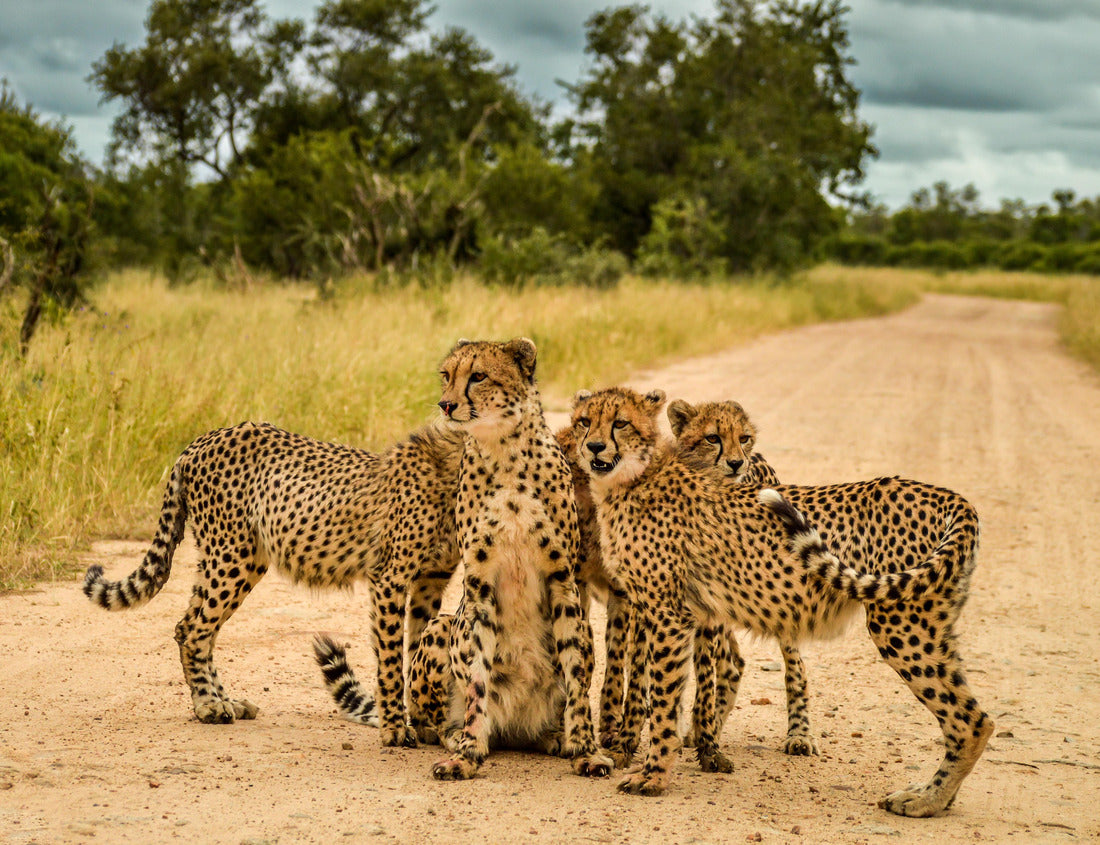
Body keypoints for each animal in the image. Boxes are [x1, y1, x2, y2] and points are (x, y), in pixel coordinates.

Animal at [83, 418, 465, 748]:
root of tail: (202, 440)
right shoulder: (390, 578)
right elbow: (391, 658)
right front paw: (396, 729)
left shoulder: (431, 581)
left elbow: (418, 648)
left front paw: (425, 723)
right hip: (233, 556)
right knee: (194, 630)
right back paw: (208, 706)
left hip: (229, 559)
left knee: (194, 627)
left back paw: (227, 701)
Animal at [667, 399, 817, 758]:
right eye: (712, 438)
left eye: (744, 437)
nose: (736, 462)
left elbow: (704, 676)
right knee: (733, 664)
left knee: (795, 666)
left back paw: (799, 734)